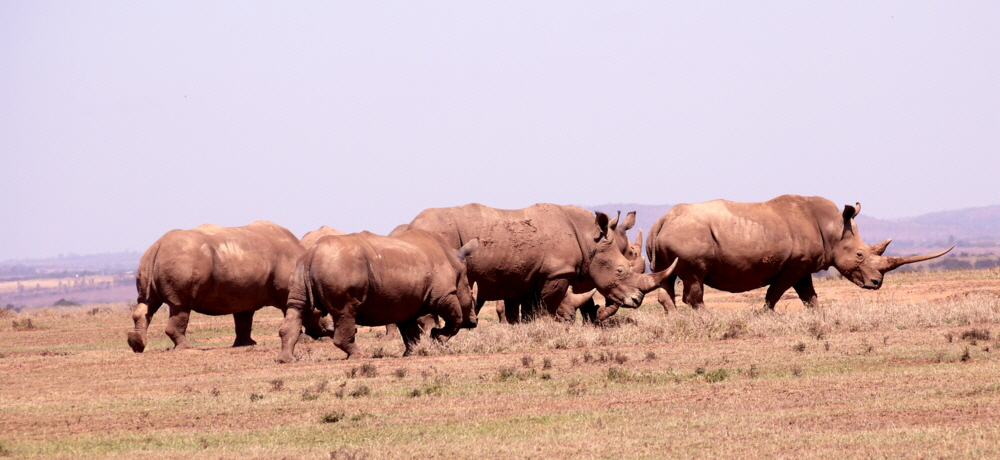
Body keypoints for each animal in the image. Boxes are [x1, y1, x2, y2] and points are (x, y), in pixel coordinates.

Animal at [272, 228, 478, 362]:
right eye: (471, 296)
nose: (474, 322)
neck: (455, 265)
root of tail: (312, 253)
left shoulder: (405, 302)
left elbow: (410, 330)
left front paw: (413, 352)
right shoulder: (443, 294)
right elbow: (455, 318)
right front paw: (437, 338)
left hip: (300, 269)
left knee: (297, 307)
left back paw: (286, 360)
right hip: (340, 267)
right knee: (345, 312)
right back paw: (359, 357)